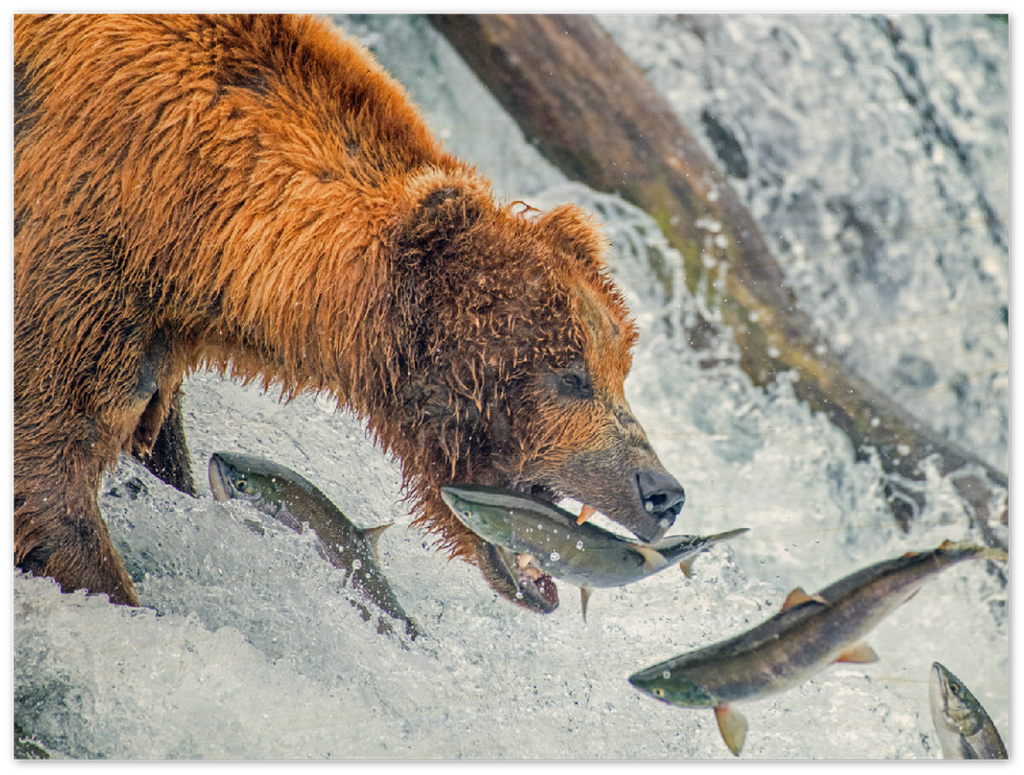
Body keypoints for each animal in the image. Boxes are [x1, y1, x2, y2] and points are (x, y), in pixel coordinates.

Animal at [12, 12, 684, 610]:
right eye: (569, 374)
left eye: (619, 368)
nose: (663, 492)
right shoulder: (84, 251)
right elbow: (47, 475)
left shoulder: (156, 329)